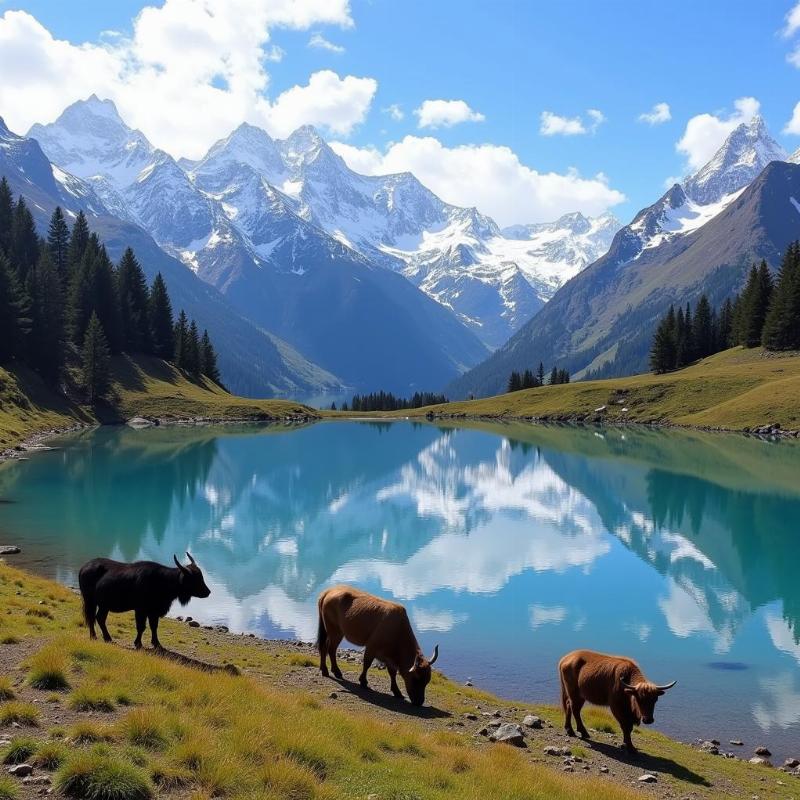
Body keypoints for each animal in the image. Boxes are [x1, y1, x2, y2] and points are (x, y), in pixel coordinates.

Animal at [318, 580, 440, 708]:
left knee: (327, 648)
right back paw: (330, 671)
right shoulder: (371, 647)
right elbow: (367, 664)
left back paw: (328, 670)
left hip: (335, 632)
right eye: (416, 678)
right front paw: (363, 682)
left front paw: (397, 692)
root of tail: (328, 591)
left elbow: (392, 673)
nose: (419, 702)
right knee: (329, 649)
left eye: (427, 681)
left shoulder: (389, 658)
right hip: (334, 631)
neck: (397, 630)